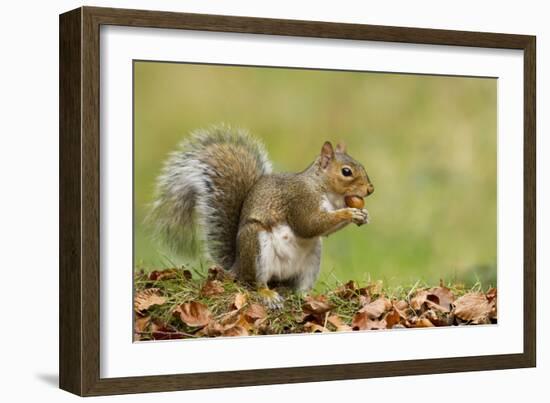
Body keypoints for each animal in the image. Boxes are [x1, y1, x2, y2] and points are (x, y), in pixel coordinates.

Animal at [150, 125, 376, 306]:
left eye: (362, 166)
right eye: (346, 172)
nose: (370, 189)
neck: (324, 189)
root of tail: (237, 267)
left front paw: (363, 215)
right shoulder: (300, 200)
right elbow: (309, 225)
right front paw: (349, 213)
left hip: (312, 260)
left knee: (299, 287)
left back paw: (306, 297)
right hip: (256, 247)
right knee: (255, 282)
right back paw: (268, 294)